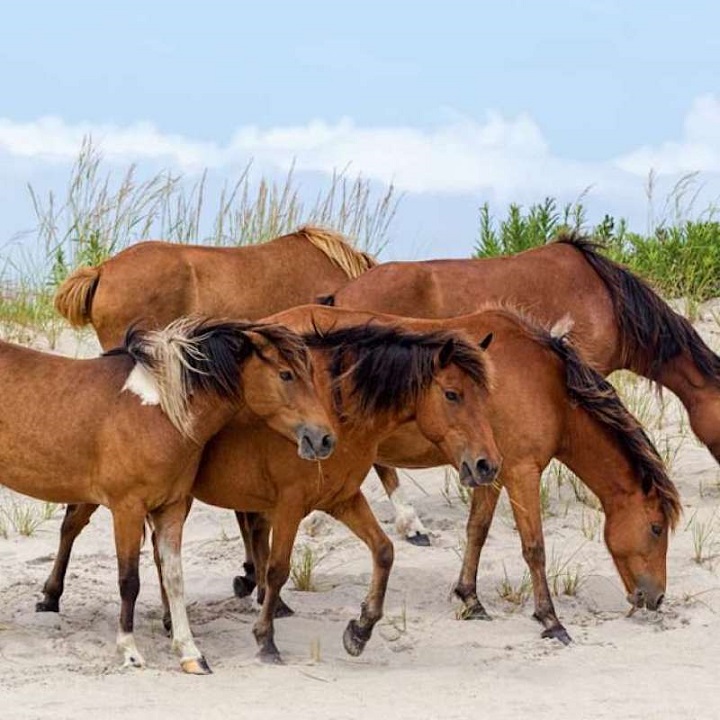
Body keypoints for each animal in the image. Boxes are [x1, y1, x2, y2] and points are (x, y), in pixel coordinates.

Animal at [0, 318, 334, 672]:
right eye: (286, 374)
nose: (324, 438)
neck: (157, 413)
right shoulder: (127, 509)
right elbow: (129, 581)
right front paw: (129, 650)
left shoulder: (171, 507)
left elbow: (173, 577)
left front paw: (190, 653)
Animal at [39, 304, 500, 664]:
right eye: (453, 394)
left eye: (486, 396)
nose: (486, 465)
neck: (337, 411)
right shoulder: (291, 504)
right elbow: (279, 568)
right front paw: (266, 639)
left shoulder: (343, 499)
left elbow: (384, 551)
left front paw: (360, 630)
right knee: (73, 524)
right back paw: (50, 595)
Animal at [232, 306, 680, 644]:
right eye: (656, 528)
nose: (656, 597)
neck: (546, 384)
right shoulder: (521, 472)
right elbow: (534, 548)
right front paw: (551, 620)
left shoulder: (490, 471)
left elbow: (477, 531)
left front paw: (470, 599)